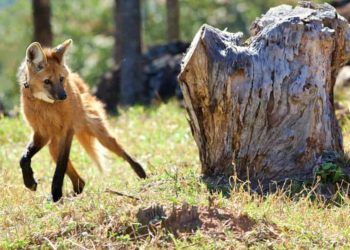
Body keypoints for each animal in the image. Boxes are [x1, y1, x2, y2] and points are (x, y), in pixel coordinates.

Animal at [16, 39, 146, 203]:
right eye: (47, 81)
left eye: (61, 79)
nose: (64, 96)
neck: (45, 104)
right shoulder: (42, 133)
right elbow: (24, 158)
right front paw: (30, 183)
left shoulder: (67, 131)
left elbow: (60, 167)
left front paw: (56, 193)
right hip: (53, 146)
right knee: (80, 181)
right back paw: (71, 192)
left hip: (99, 134)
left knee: (122, 151)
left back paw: (142, 174)